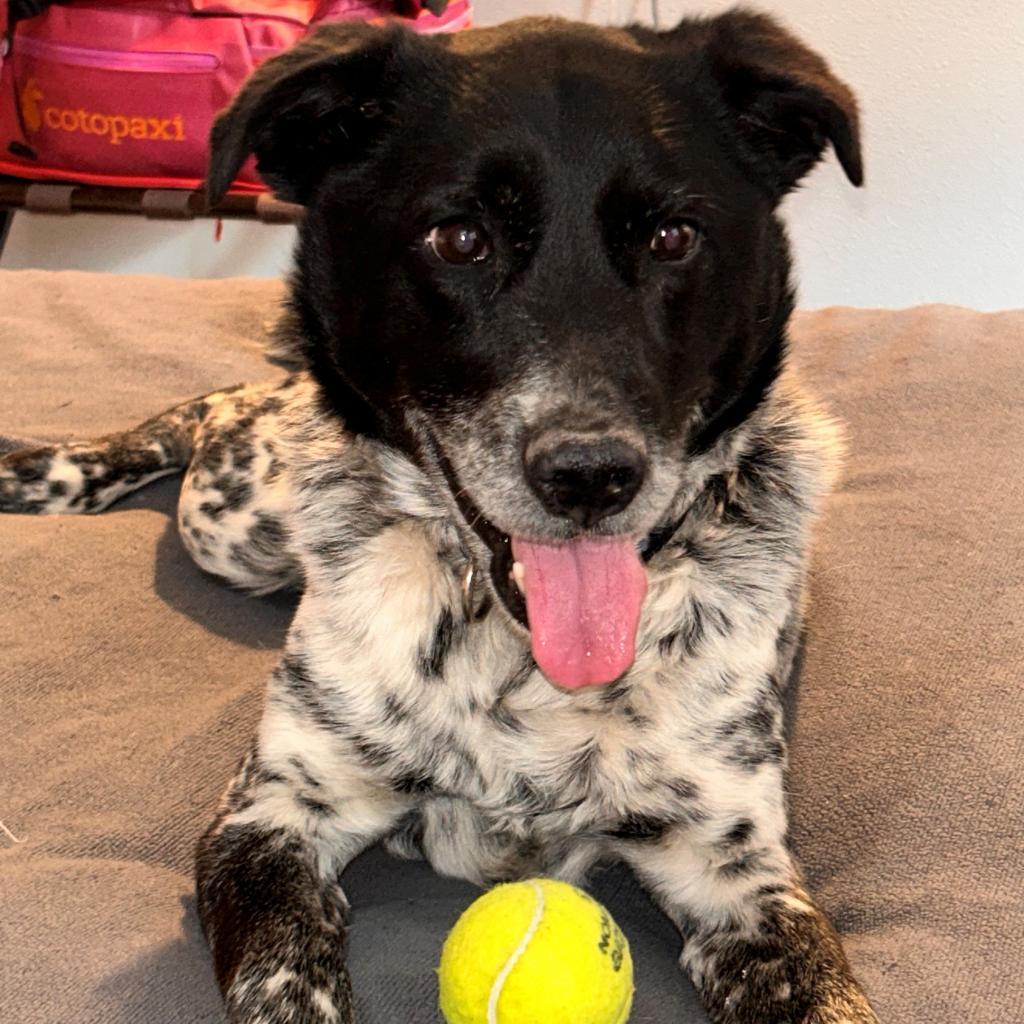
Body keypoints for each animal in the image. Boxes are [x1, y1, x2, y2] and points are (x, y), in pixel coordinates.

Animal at [2, 9, 880, 1024]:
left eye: (672, 236)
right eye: (459, 239)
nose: (592, 474)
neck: (516, 655)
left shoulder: (733, 869)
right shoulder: (269, 814)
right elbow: (285, 982)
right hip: (234, 524)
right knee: (216, 406)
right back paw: (50, 470)